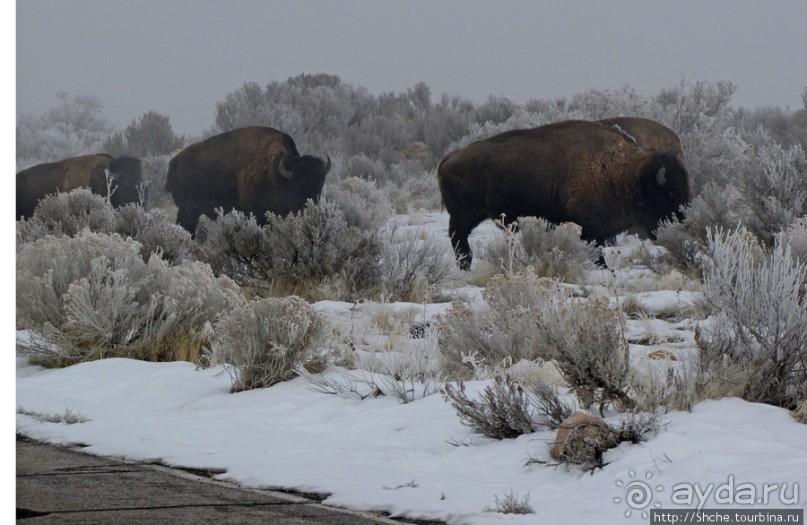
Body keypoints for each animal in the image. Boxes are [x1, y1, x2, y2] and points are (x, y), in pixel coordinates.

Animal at [167, 125, 332, 231]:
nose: (311, 211)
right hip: (187, 210)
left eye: (320, 186)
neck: (276, 174)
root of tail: (174, 162)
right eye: (297, 187)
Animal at [438, 119, 692, 270]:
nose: (683, 222)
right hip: (464, 214)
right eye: (670, 194)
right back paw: (465, 264)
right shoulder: (590, 229)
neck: (628, 172)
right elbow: (595, 251)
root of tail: (449, 157)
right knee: (458, 236)